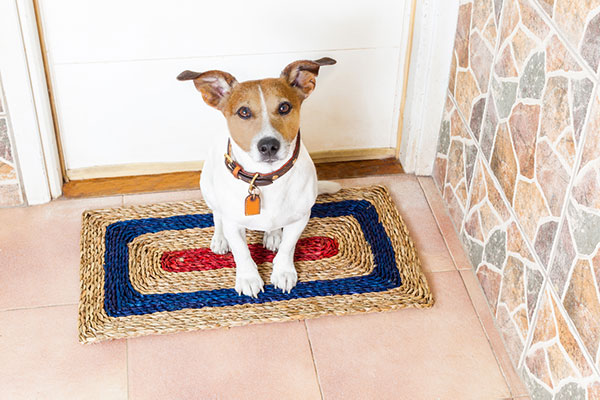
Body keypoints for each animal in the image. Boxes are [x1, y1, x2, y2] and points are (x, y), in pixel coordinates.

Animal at [176, 58, 340, 296]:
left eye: (284, 107)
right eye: (244, 112)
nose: (269, 145)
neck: (265, 178)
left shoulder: (300, 218)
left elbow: (288, 247)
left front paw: (283, 271)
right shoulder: (234, 223)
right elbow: (242, 253)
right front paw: (248, 278)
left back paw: (273, 234)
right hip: (208, 188)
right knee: (217, 215)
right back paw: (220, 238)